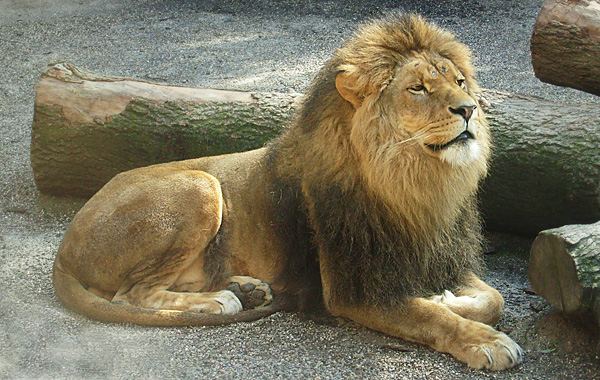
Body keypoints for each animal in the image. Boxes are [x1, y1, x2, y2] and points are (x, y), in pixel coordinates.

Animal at [55, 14, 524, 372]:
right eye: (418, 89)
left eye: (460, 81)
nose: (469, 108)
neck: (417, 184)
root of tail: (64, 246)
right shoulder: (353, 289)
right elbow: (429, 315)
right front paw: (484, 340)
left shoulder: (438, 255)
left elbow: (493, 298)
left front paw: (448, 297)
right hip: (200, 186)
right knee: (131, 294)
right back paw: (222, 301)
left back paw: (246, 289)